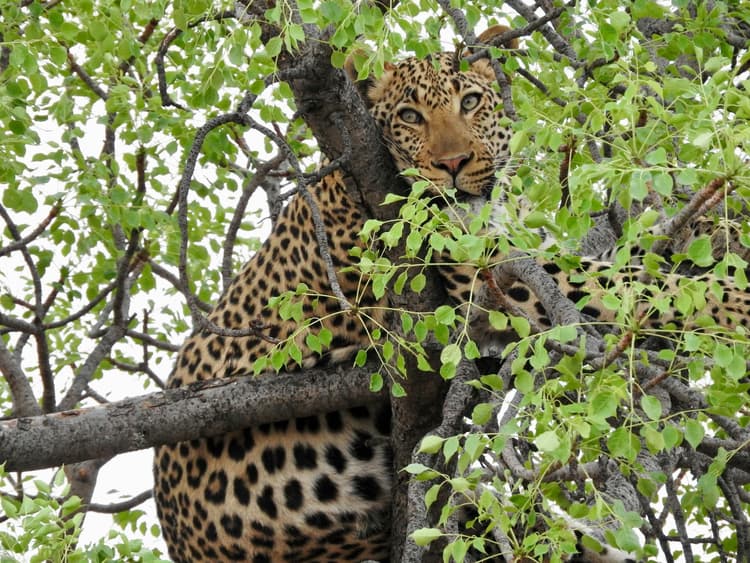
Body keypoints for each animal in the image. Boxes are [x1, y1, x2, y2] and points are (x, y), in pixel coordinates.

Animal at [151, 24, 748, 560]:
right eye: (410, 117)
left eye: (472, 101)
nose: (453, 164)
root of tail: (183, 542)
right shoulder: (495, 282)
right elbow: (631, 284)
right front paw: (735, 303)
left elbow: (631, 257)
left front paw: (710, 229)